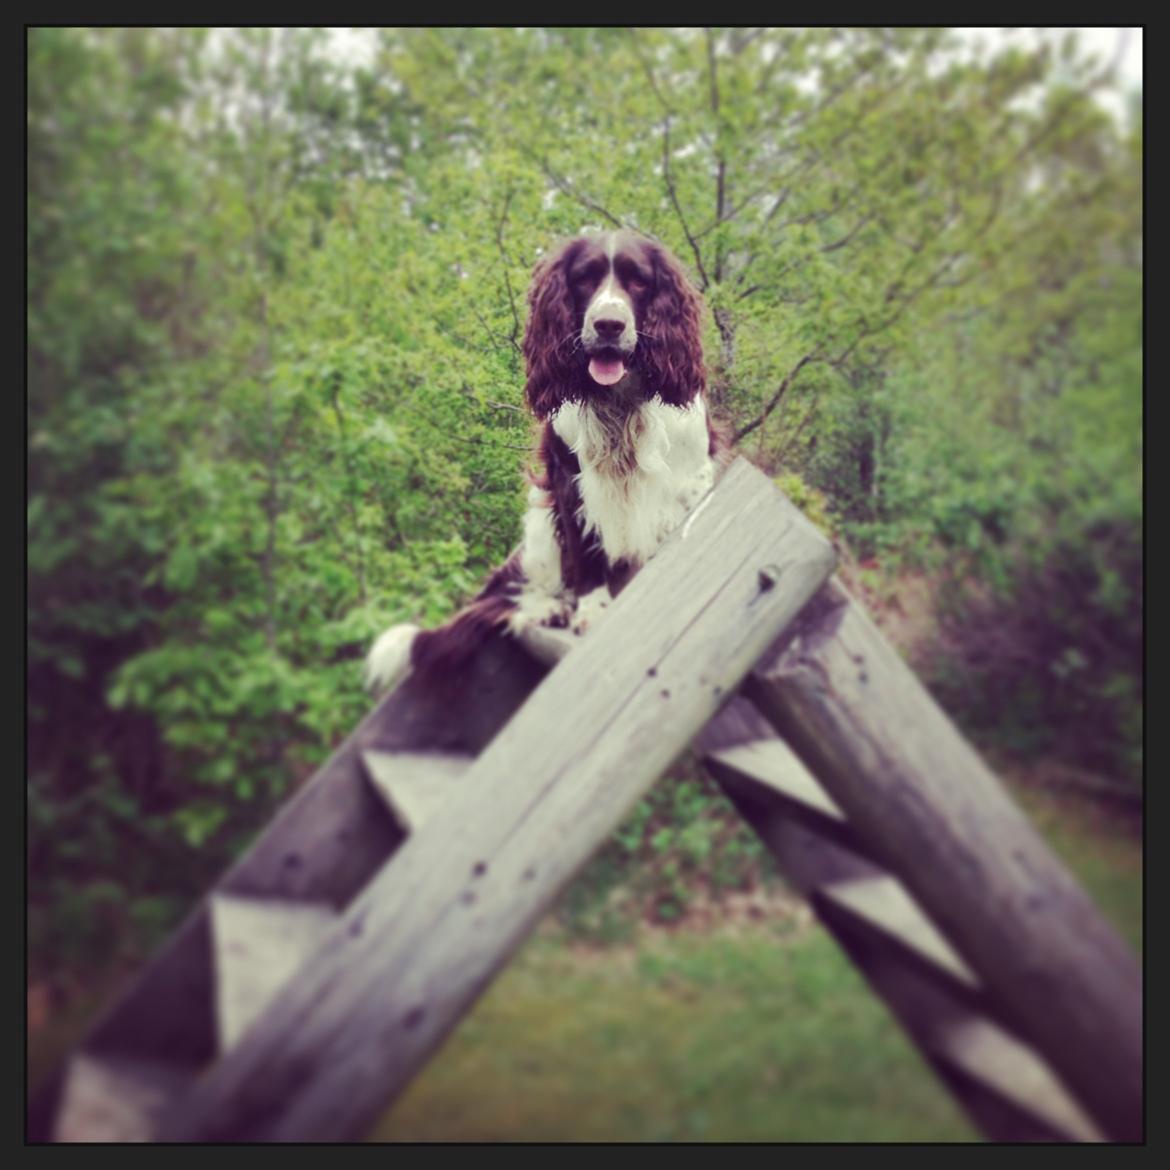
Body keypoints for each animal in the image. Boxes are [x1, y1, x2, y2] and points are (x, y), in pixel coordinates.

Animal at [369, 228, 725, 683]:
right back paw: (549, 608)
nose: (608, 325)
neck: (621, 402)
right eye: (584, 278)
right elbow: (587, 554)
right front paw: (591, 611)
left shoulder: (691, 480)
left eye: (639, 281)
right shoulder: (569, 483)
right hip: (540, 520)